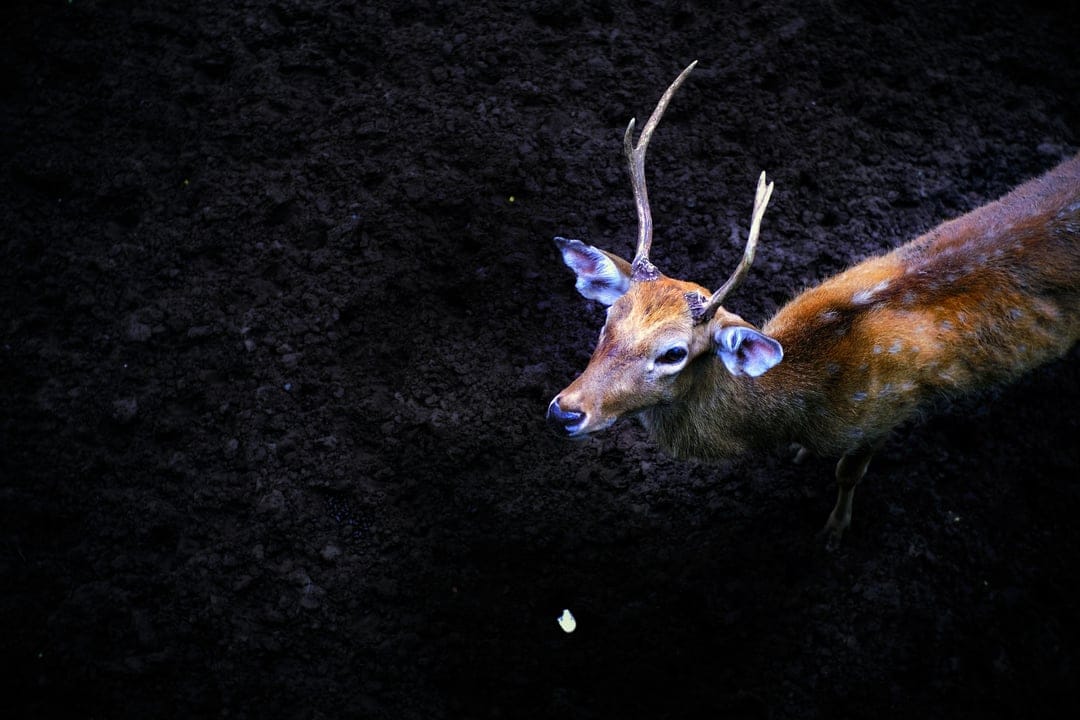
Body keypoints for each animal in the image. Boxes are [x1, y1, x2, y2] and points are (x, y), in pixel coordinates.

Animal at [546, 61, 1080, 547]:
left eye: (674, 353)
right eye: (607, 320)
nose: (564, 411)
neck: (806, 401)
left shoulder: (885, 412)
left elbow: (848, 473)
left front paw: (834, 531)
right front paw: (803, 460)